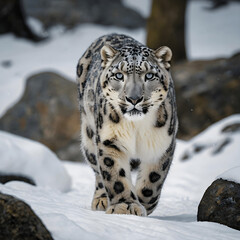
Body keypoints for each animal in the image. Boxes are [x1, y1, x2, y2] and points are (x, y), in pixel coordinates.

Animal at [76, 33, 177, 216]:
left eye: (149, 75)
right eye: (119, 75)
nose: (134, 99)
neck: (136, 128)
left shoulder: (162, 144)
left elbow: (153, 180)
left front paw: (142, 205)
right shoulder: (110, 140)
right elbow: (114, 175)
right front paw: (124, 206)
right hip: (89, 135)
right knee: (97, 170)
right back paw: (101, 200)